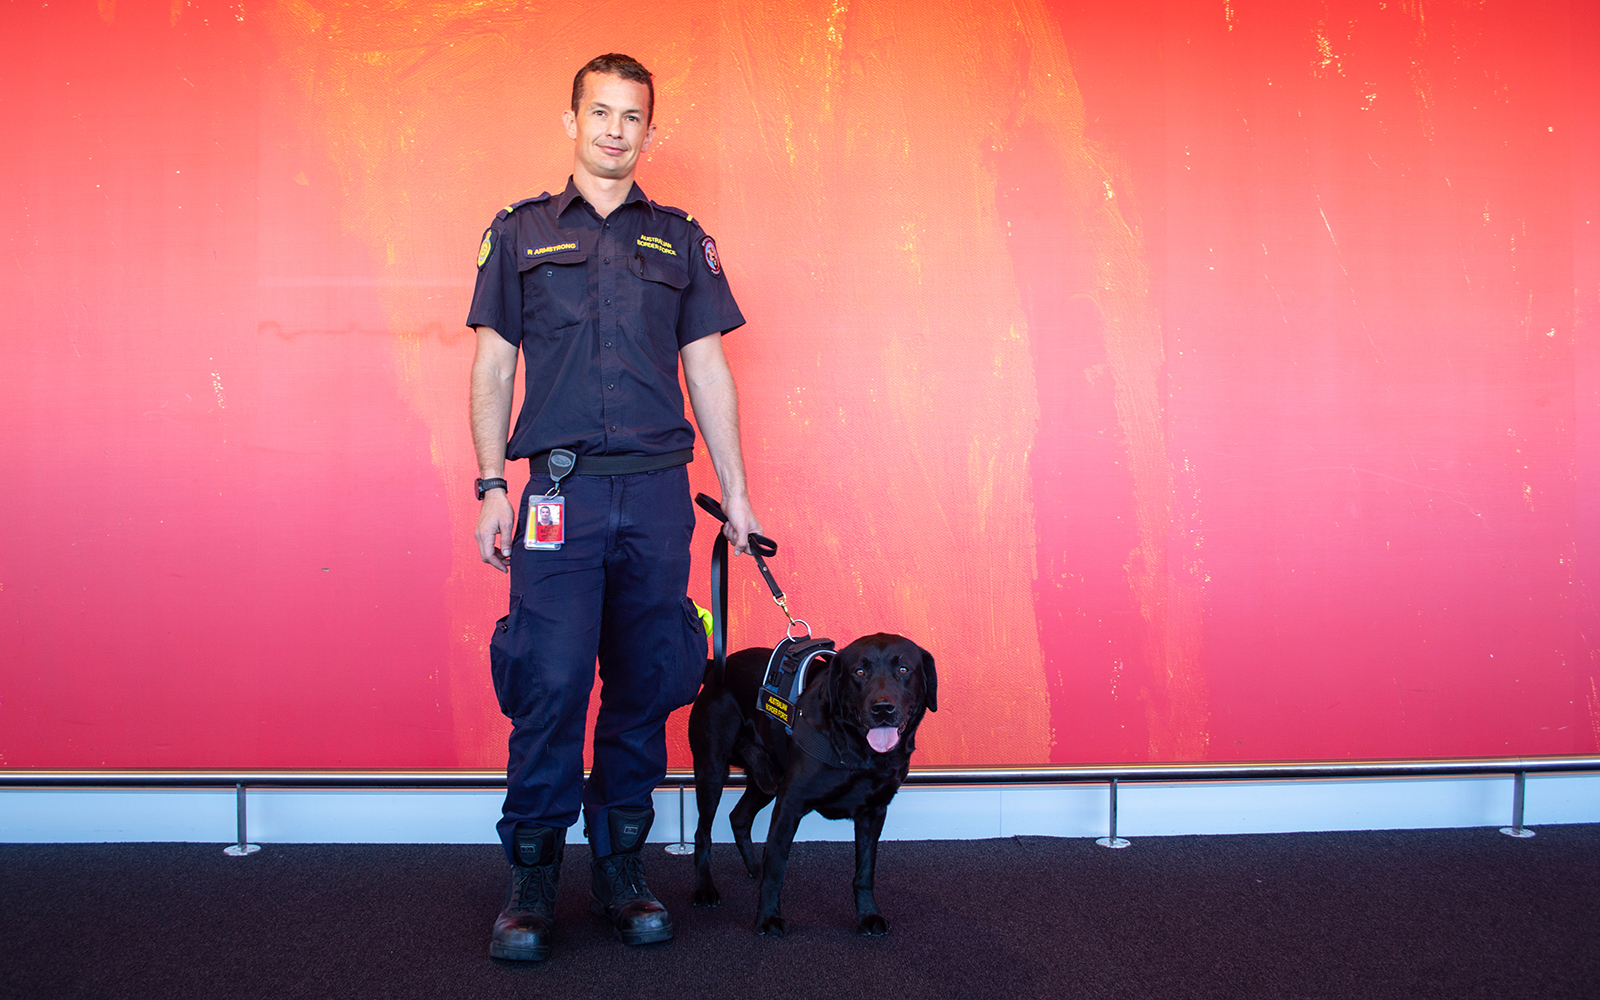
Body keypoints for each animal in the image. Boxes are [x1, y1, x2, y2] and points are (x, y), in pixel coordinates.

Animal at [688, 630, 934, 934]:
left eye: (903, 670)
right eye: (859, 672)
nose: (883, 708)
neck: (857, 751)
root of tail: (718, 668)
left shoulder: (874, 812)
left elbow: (865, 871)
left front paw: (868, 915)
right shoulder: (790, 804)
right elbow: (776, 867)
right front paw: (768, 918)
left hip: (768, 778)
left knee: (739, 817)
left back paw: (754, 866)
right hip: (712, 770)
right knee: (703, 832)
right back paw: (705, 888)